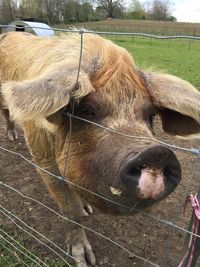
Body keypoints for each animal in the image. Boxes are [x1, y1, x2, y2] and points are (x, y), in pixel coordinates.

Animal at [0, 30, 200, 266]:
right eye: (87, 110)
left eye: (150, 115)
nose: (157, 154)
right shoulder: (44, 161)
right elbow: (72, 213)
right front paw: (84, 260)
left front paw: (87, 211)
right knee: (6, 113)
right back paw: (12, 137)